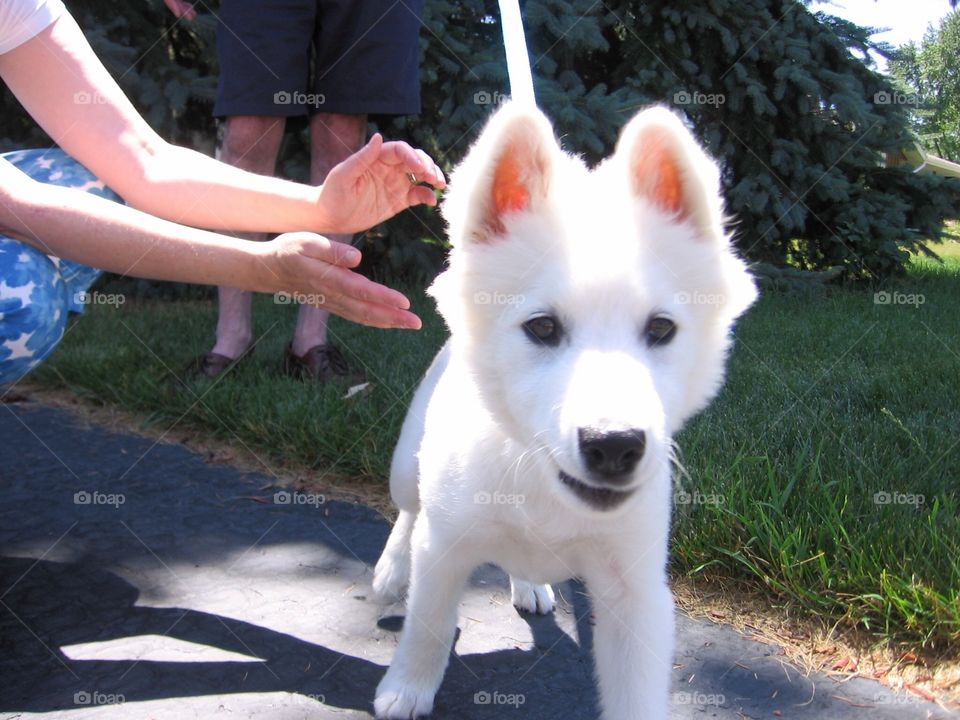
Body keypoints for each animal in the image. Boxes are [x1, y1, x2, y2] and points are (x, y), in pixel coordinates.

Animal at [372, 102, 752, 720]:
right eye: (543, 328)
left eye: (661, 329)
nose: (614, 446)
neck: (539, 479)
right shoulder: (445, 548)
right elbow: (428, 624)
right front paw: (407, 688)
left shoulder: (636, 592)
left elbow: (637, 692)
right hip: (408, 462)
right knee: (408, 511)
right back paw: (390, 571)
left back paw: (528, 584)